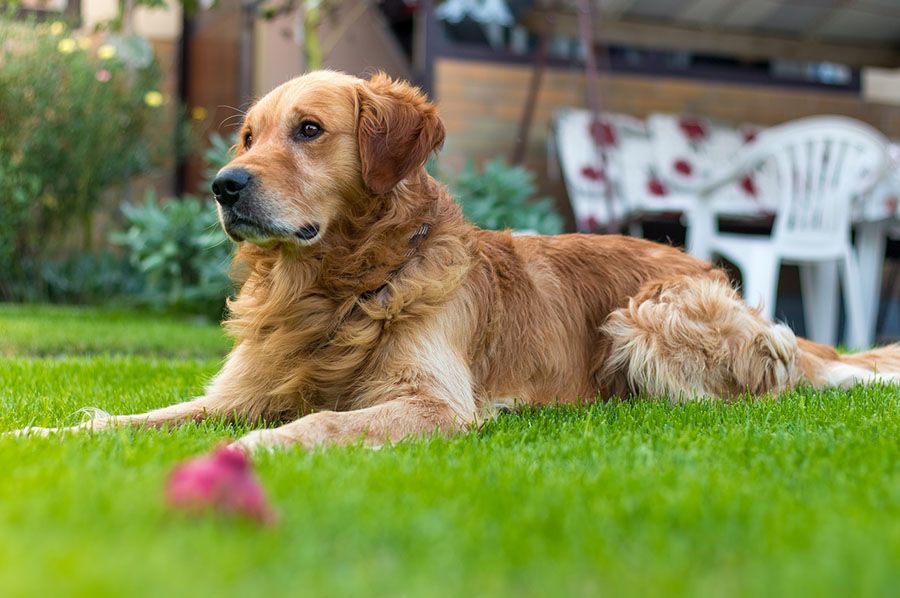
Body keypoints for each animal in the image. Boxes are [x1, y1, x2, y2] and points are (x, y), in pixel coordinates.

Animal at [12, 71, 900, 450]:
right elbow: (140, 418)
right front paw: (43, 431)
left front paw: (246, 456)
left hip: (644, 315)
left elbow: (319, 421)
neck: (337, 286)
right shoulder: (241, 390)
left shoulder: (432, 403)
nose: (225, 188)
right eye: (247, 137)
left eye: (309, 130)